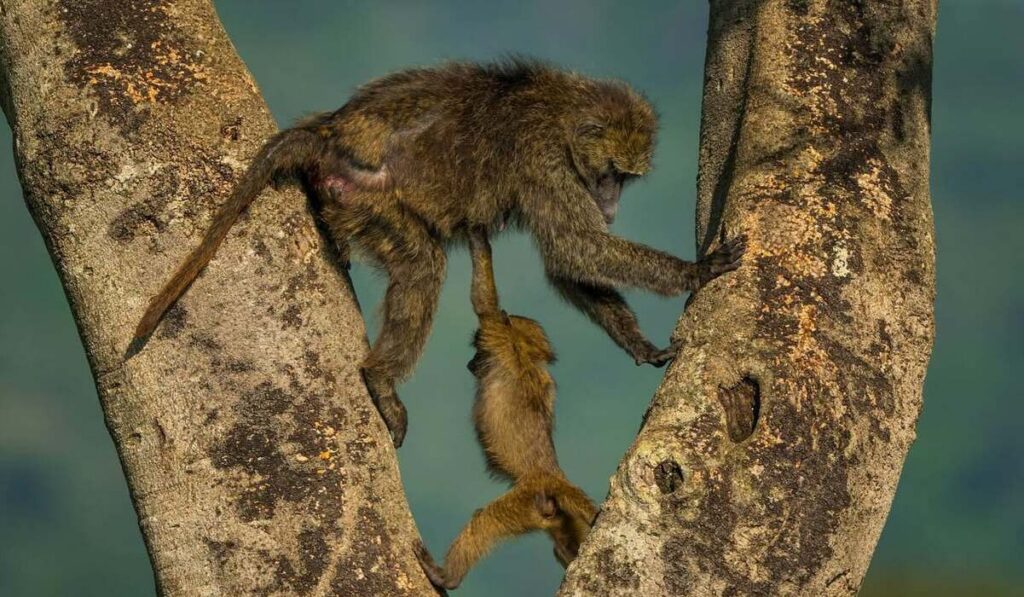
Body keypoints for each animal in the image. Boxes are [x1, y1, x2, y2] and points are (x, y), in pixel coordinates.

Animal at [131, 59, 747, 447]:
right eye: (613, 174)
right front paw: (700, 270)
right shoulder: (545, 162)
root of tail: (331, 132)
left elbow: (569, 266)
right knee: (423, 267)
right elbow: (577, 250)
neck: (562, 109)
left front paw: (639, 345)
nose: (612, 203)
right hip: (368, 198)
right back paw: (380, 379)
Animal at [413, 228, 599, 591]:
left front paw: (476, 234)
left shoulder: (498, 336)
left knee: (484, 521)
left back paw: (446, 575)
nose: (470, 364)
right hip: (550, 512)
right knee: (564, 546)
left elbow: (485, 303)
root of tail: (552, 476)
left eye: (477, 350)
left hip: (527, 499)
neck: (526, 359)